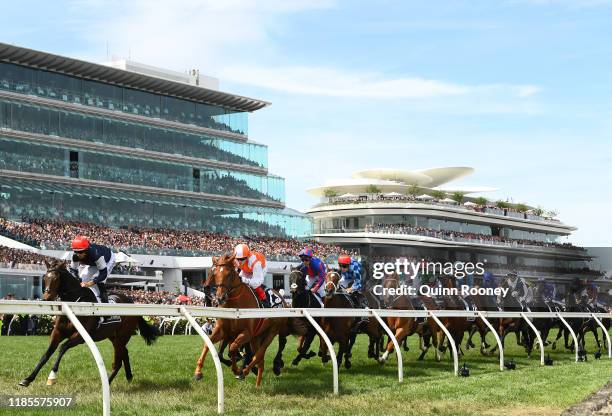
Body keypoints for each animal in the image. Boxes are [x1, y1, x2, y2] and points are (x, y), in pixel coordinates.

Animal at [19, 258, 158, 388]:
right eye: (45, 277)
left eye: (56, 278)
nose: (47, 297)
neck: (74, 303)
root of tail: (130, 301)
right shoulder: (57, 332)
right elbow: (46, 355)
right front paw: (27, 379)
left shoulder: (80, 336)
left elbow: (62, 347)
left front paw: (52, 376)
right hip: (114, 337)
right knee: (125, 353)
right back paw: (128, 376)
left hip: (122, 336)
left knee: (118, 362)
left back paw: (107, 382)